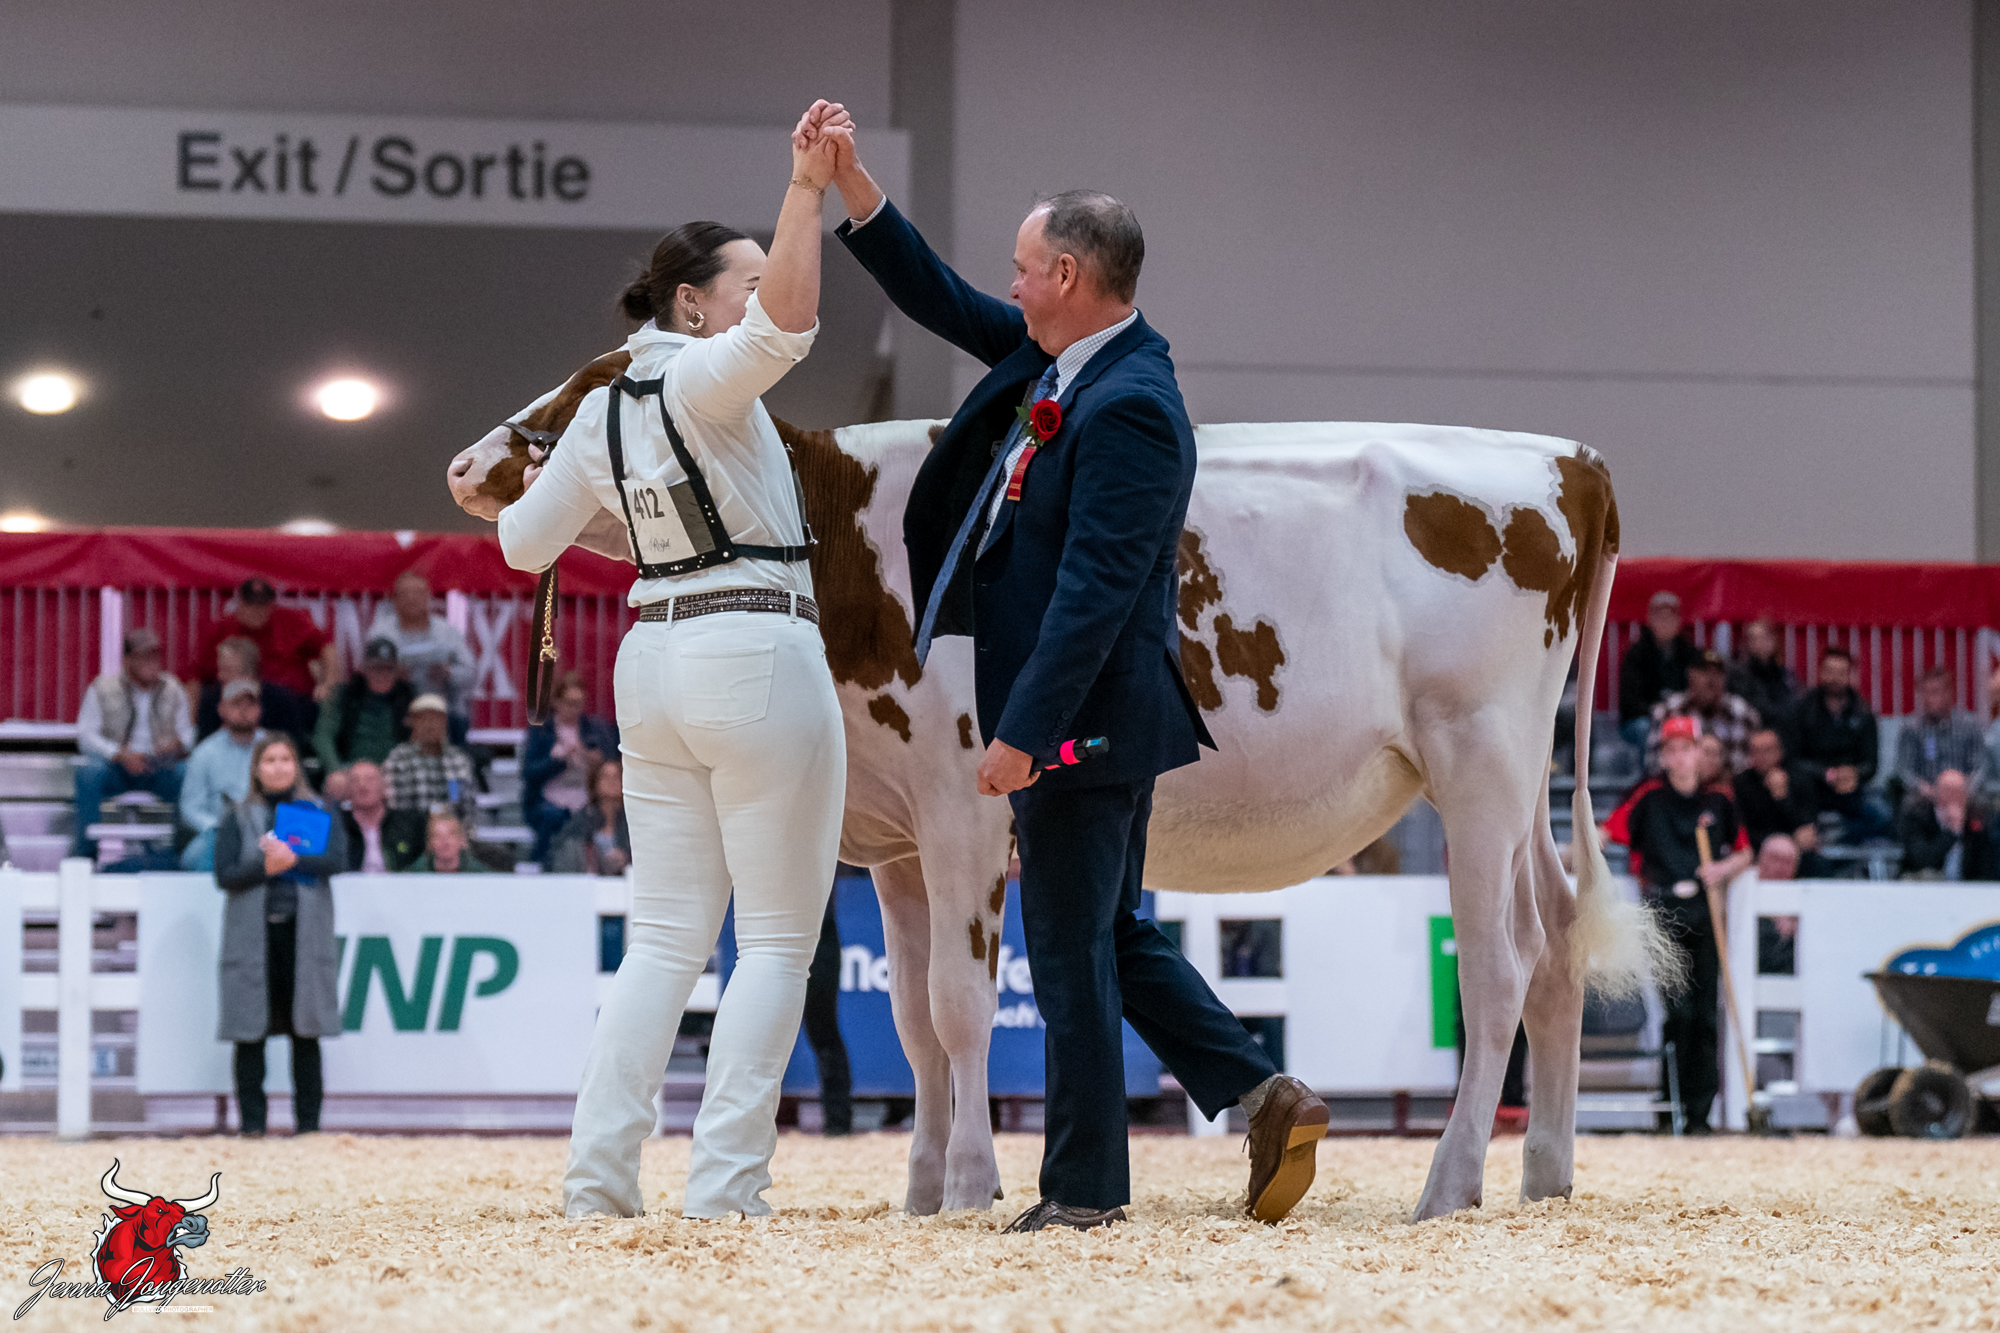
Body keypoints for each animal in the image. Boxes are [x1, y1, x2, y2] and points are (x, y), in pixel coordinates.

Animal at [449, 357, 1671, 1223]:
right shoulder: (897, 839)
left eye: (592, 391)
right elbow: (911, 1016)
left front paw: (971, 1184)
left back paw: (1447, 1185)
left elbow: (957, 1002)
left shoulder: (964, 807)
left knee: (1499, 961)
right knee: (1558, 937)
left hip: (1480, 755)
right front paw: (922, 1190)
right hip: (1510, 780)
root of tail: (1568, 457)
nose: (465, 466)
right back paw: (1543, 1175)